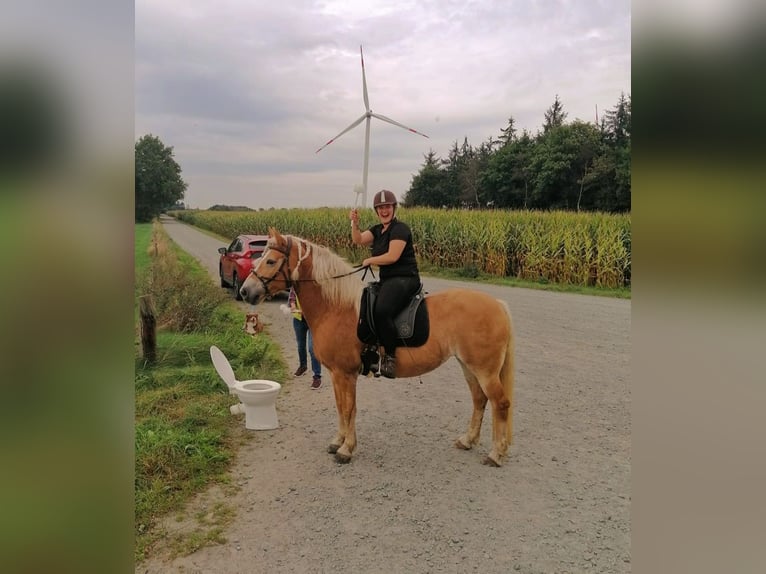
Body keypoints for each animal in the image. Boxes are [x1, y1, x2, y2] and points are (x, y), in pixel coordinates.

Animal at [240, 230, 516, 468]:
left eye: (271, 261)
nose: (245, 291)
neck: (336, 307)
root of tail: (498, 305)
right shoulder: (336, 374)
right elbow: (340, 407)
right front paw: (337, 441)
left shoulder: (345, 373)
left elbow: (349, 408)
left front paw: (346, 449)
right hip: (468, 366)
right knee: (479, 400)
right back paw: (467, 441)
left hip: (485, 370)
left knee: (500, 403)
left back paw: (496, 454)